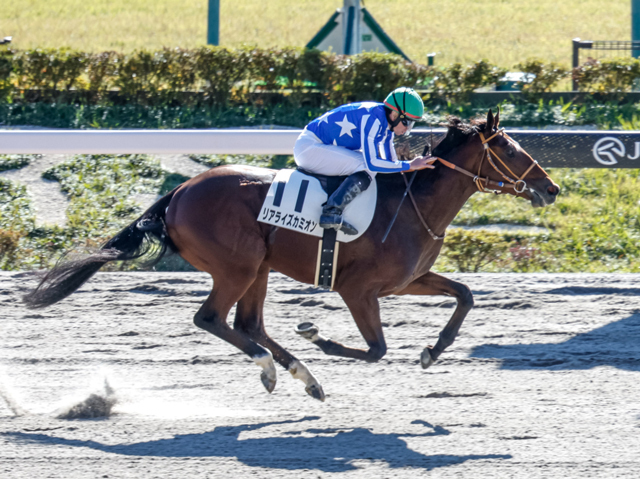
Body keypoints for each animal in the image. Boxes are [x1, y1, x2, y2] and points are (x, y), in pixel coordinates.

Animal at [22, 109, 556, 402]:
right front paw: (320, 336)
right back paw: (275, 367)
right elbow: (376, 349)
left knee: (248, 324)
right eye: (511, 150)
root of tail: (177, 193)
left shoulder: (407, 280)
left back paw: (304, 377)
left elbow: (464, 295)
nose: (550, 188)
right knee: (212, 319)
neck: (414, 203)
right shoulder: (357, 290)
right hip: (237, 265)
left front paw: (433, 350)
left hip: (258, 265)